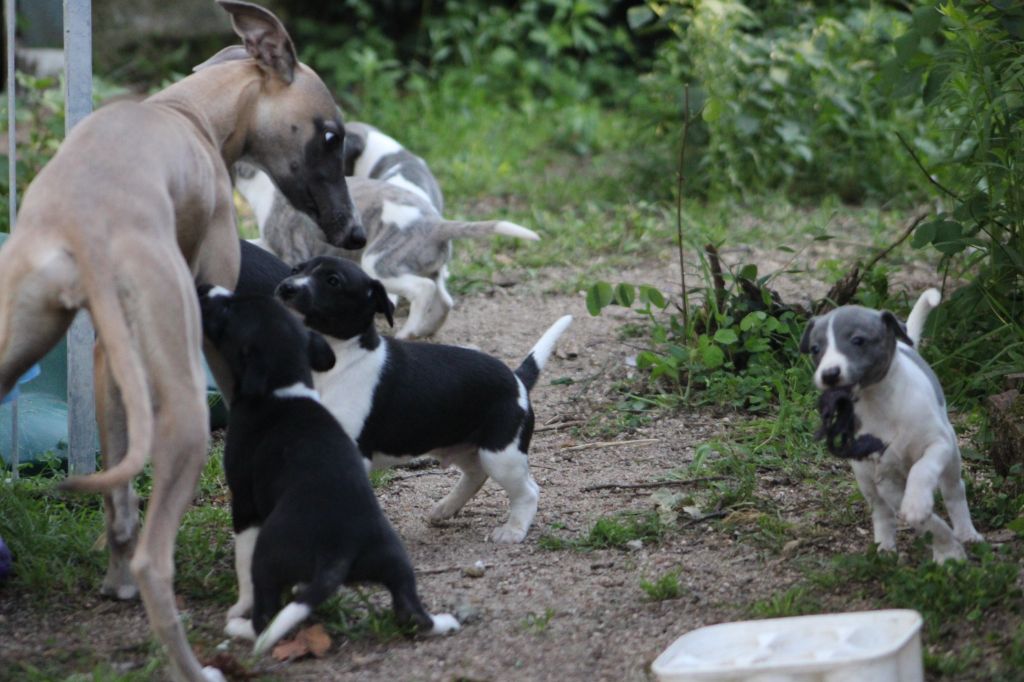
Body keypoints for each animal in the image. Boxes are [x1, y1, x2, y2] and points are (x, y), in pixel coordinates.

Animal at [199, 284, 456, 651]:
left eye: (228, 311)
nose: (205, 288)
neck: (285, 388)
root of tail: (341, 551)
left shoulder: (244, 504)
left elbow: (242, 559)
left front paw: (239, 604)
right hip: (395, 560)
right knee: (412, 612)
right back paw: (443, 622)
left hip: (269, 556)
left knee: (265, 615)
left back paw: (241, 627)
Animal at [276, 254, 573, 540]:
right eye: (295, 270)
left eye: (333, 281)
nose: (286, 287)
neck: (334, 361)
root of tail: (517, 379)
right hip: (463, 445)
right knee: (476, 474)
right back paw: (447, 507)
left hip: (501, 455)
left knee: (528, 490)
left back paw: (513, 530)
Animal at [798, 288, 983, 561]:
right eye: (815, 348)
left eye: (858, 340)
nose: (829, 374)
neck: (880, 404)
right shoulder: (884, 478)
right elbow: (926, 523)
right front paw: (946, 548)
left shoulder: (938, 444)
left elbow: (922, 470)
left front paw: (918, 504)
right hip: (864, 476)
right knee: (881, 512)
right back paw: (884, 547)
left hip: (952, 458)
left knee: (954, 492)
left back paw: (966, 532)